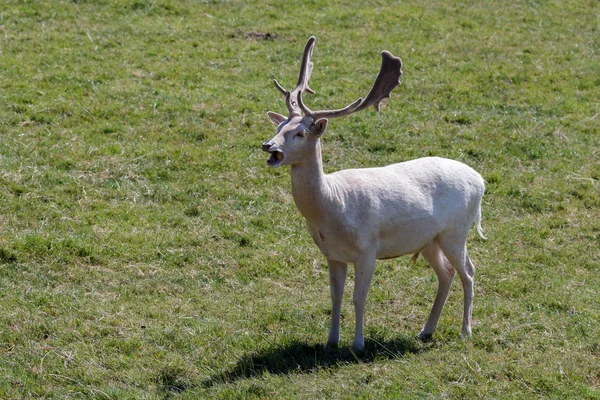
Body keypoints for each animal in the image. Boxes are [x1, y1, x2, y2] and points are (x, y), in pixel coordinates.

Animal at [260, 36, 486, 350]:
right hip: (430, 239)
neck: (333, 207)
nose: (268, 146)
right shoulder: (333, 254)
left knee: (469, 272)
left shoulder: (368, 249)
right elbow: (335, 296)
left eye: (300, 133)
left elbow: (358, 297)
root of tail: (480, 181)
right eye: (280, 126)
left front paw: (358, 345)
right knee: (447, 273)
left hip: (456, 231)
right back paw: (426, 330)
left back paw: (466, 330)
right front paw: (331, 342)